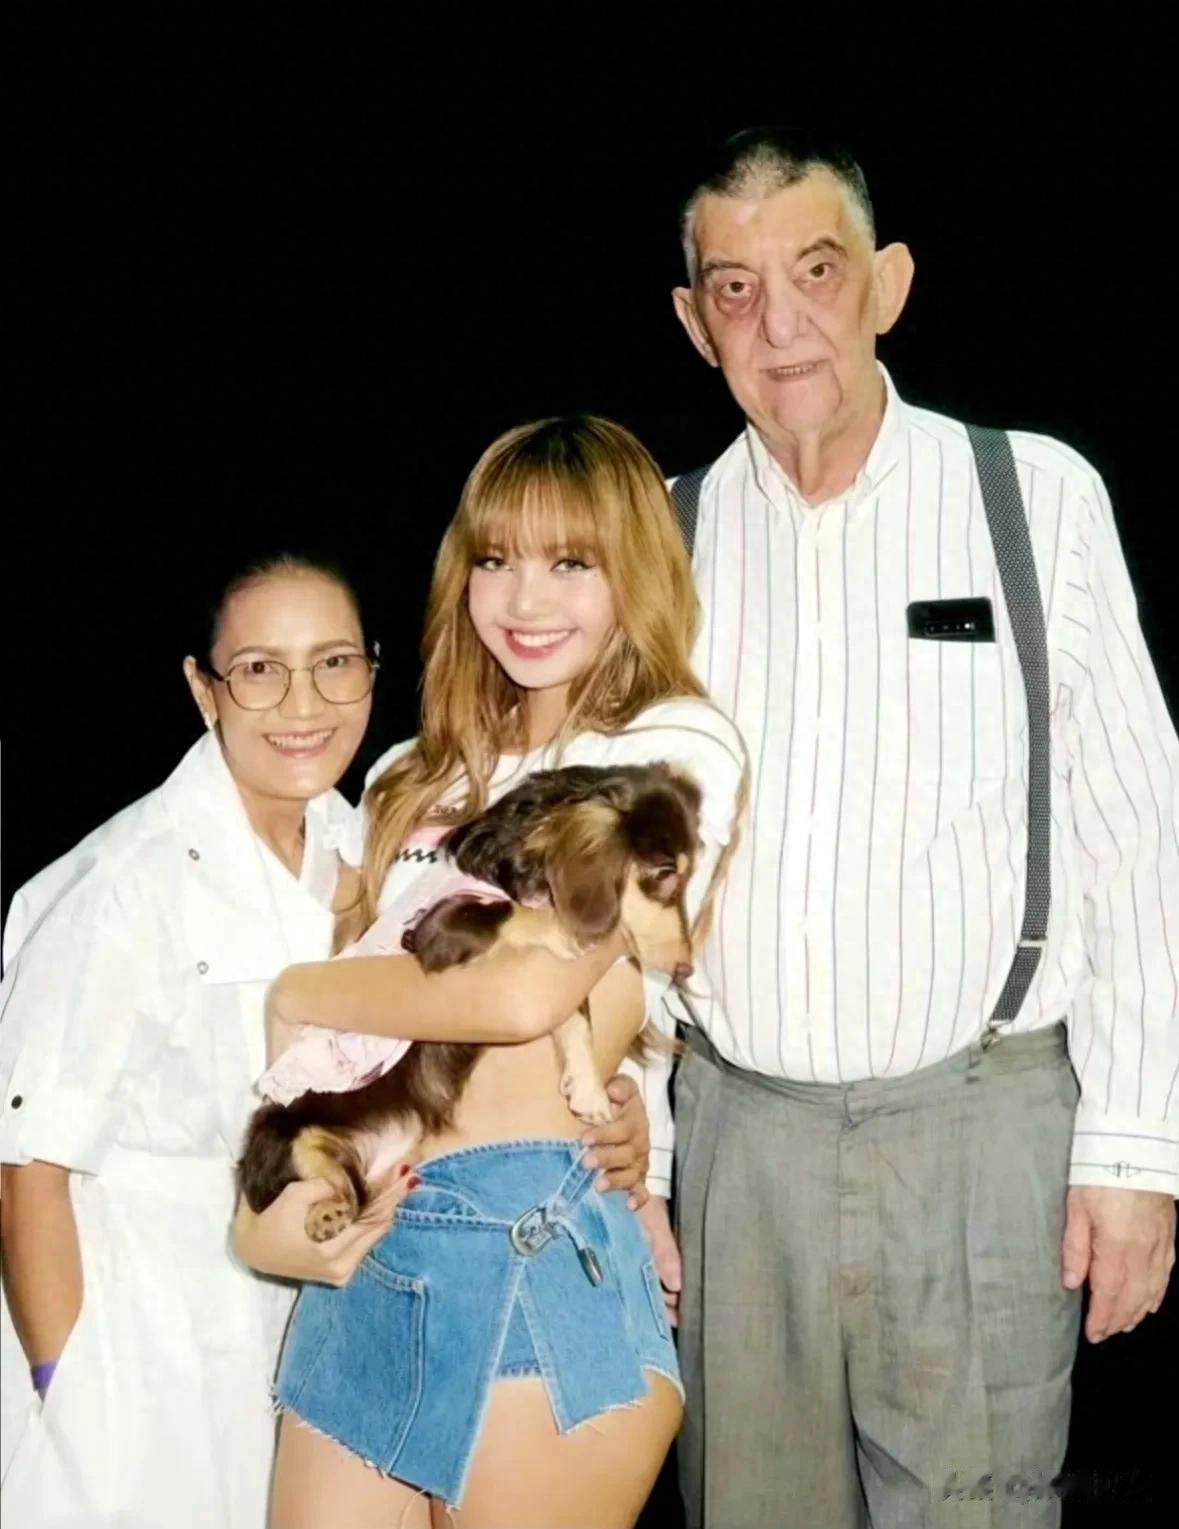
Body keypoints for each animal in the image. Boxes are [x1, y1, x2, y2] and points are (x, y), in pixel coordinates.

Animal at [237, 761, 702, 1241]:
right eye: (665, 874)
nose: (686, 970)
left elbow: (575, 1017)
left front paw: (586, 1087)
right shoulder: (435, 930)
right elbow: (511, 914)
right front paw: (558, 930)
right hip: (285, 1136)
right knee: (326, 1180)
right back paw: (326, 1213)